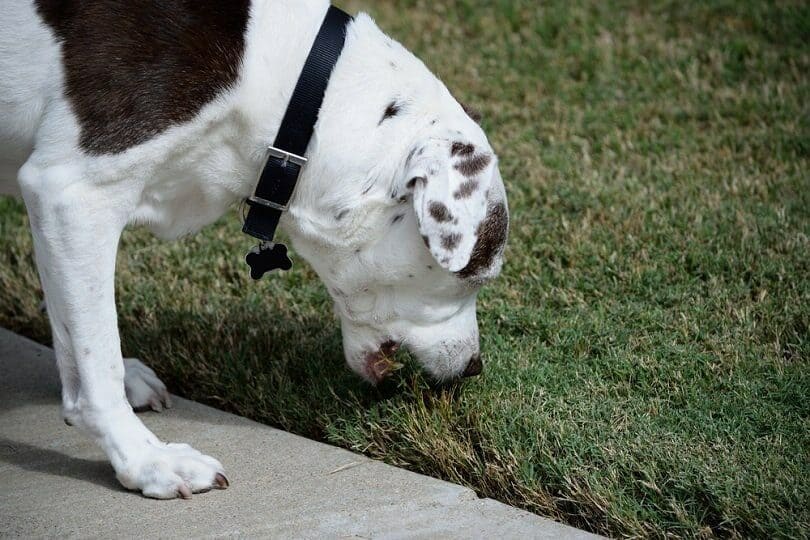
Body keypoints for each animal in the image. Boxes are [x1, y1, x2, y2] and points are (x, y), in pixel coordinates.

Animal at [0, 0, 504, 498]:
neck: (287, 84)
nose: (475, 367)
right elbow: (96, 362)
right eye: (475, 274)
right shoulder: (73, 195)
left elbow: (78, 333)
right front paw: (146, 461)